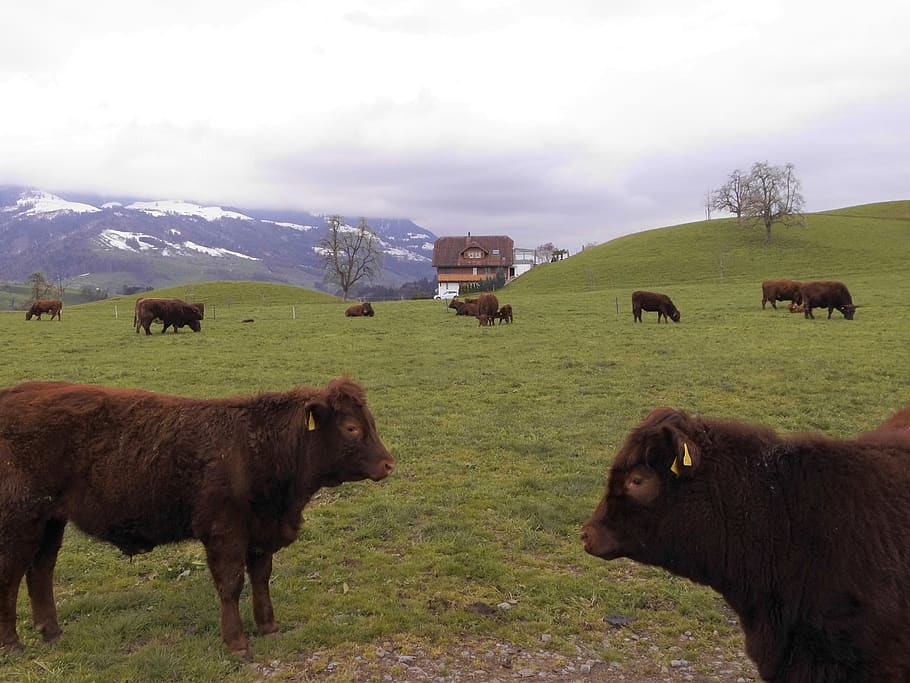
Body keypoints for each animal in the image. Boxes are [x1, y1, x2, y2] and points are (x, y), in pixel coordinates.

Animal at [0, 378, 395, 655]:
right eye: (351, 428)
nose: (389, 464)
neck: (258, 445)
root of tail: (13, 394)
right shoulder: (224, 532)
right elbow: (231, 584)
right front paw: (236, 642)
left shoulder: (260, 532)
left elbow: (261, 577)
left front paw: (268, 626)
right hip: (20, 521)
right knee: (11, 577)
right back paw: (12, 643)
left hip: (50, 521)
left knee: (40, 571)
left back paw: (52, 632)